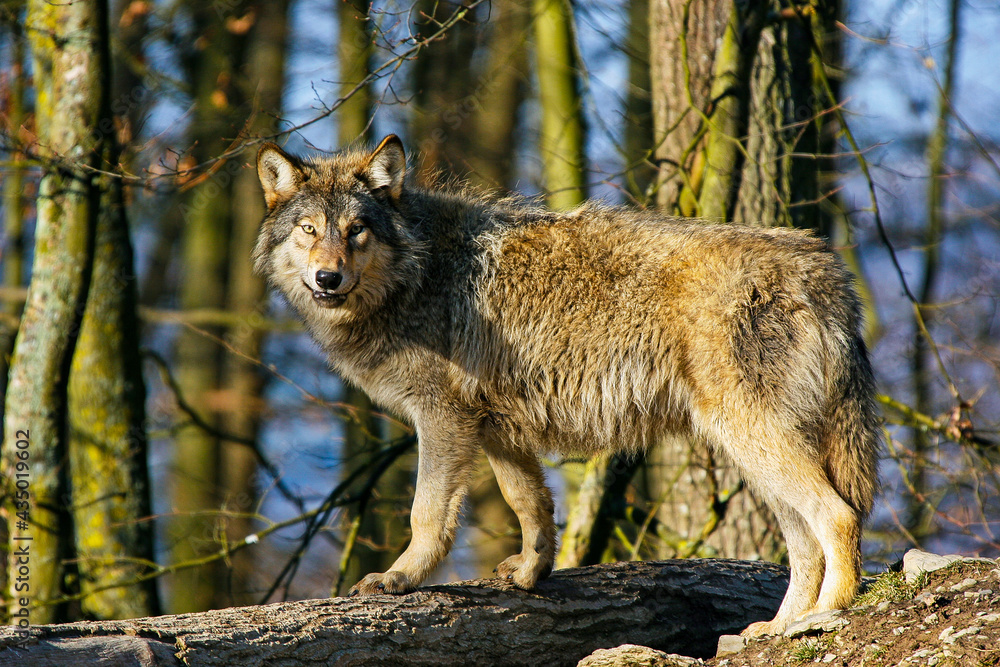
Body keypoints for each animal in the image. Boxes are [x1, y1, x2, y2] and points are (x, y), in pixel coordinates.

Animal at [253, 135, 881, 636]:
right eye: (309, 230)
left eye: (356, 231)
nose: (327, 278)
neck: (418, 275)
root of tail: (828, 271)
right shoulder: (497, 430)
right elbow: (530, 504)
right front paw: (533, 573)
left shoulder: (442, 420)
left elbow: (426, 514)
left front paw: (400, 577)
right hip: (754, 455)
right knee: (805, 541)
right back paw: (777, 628)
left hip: (756, 441)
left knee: (839, 516)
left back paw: (827, 614)